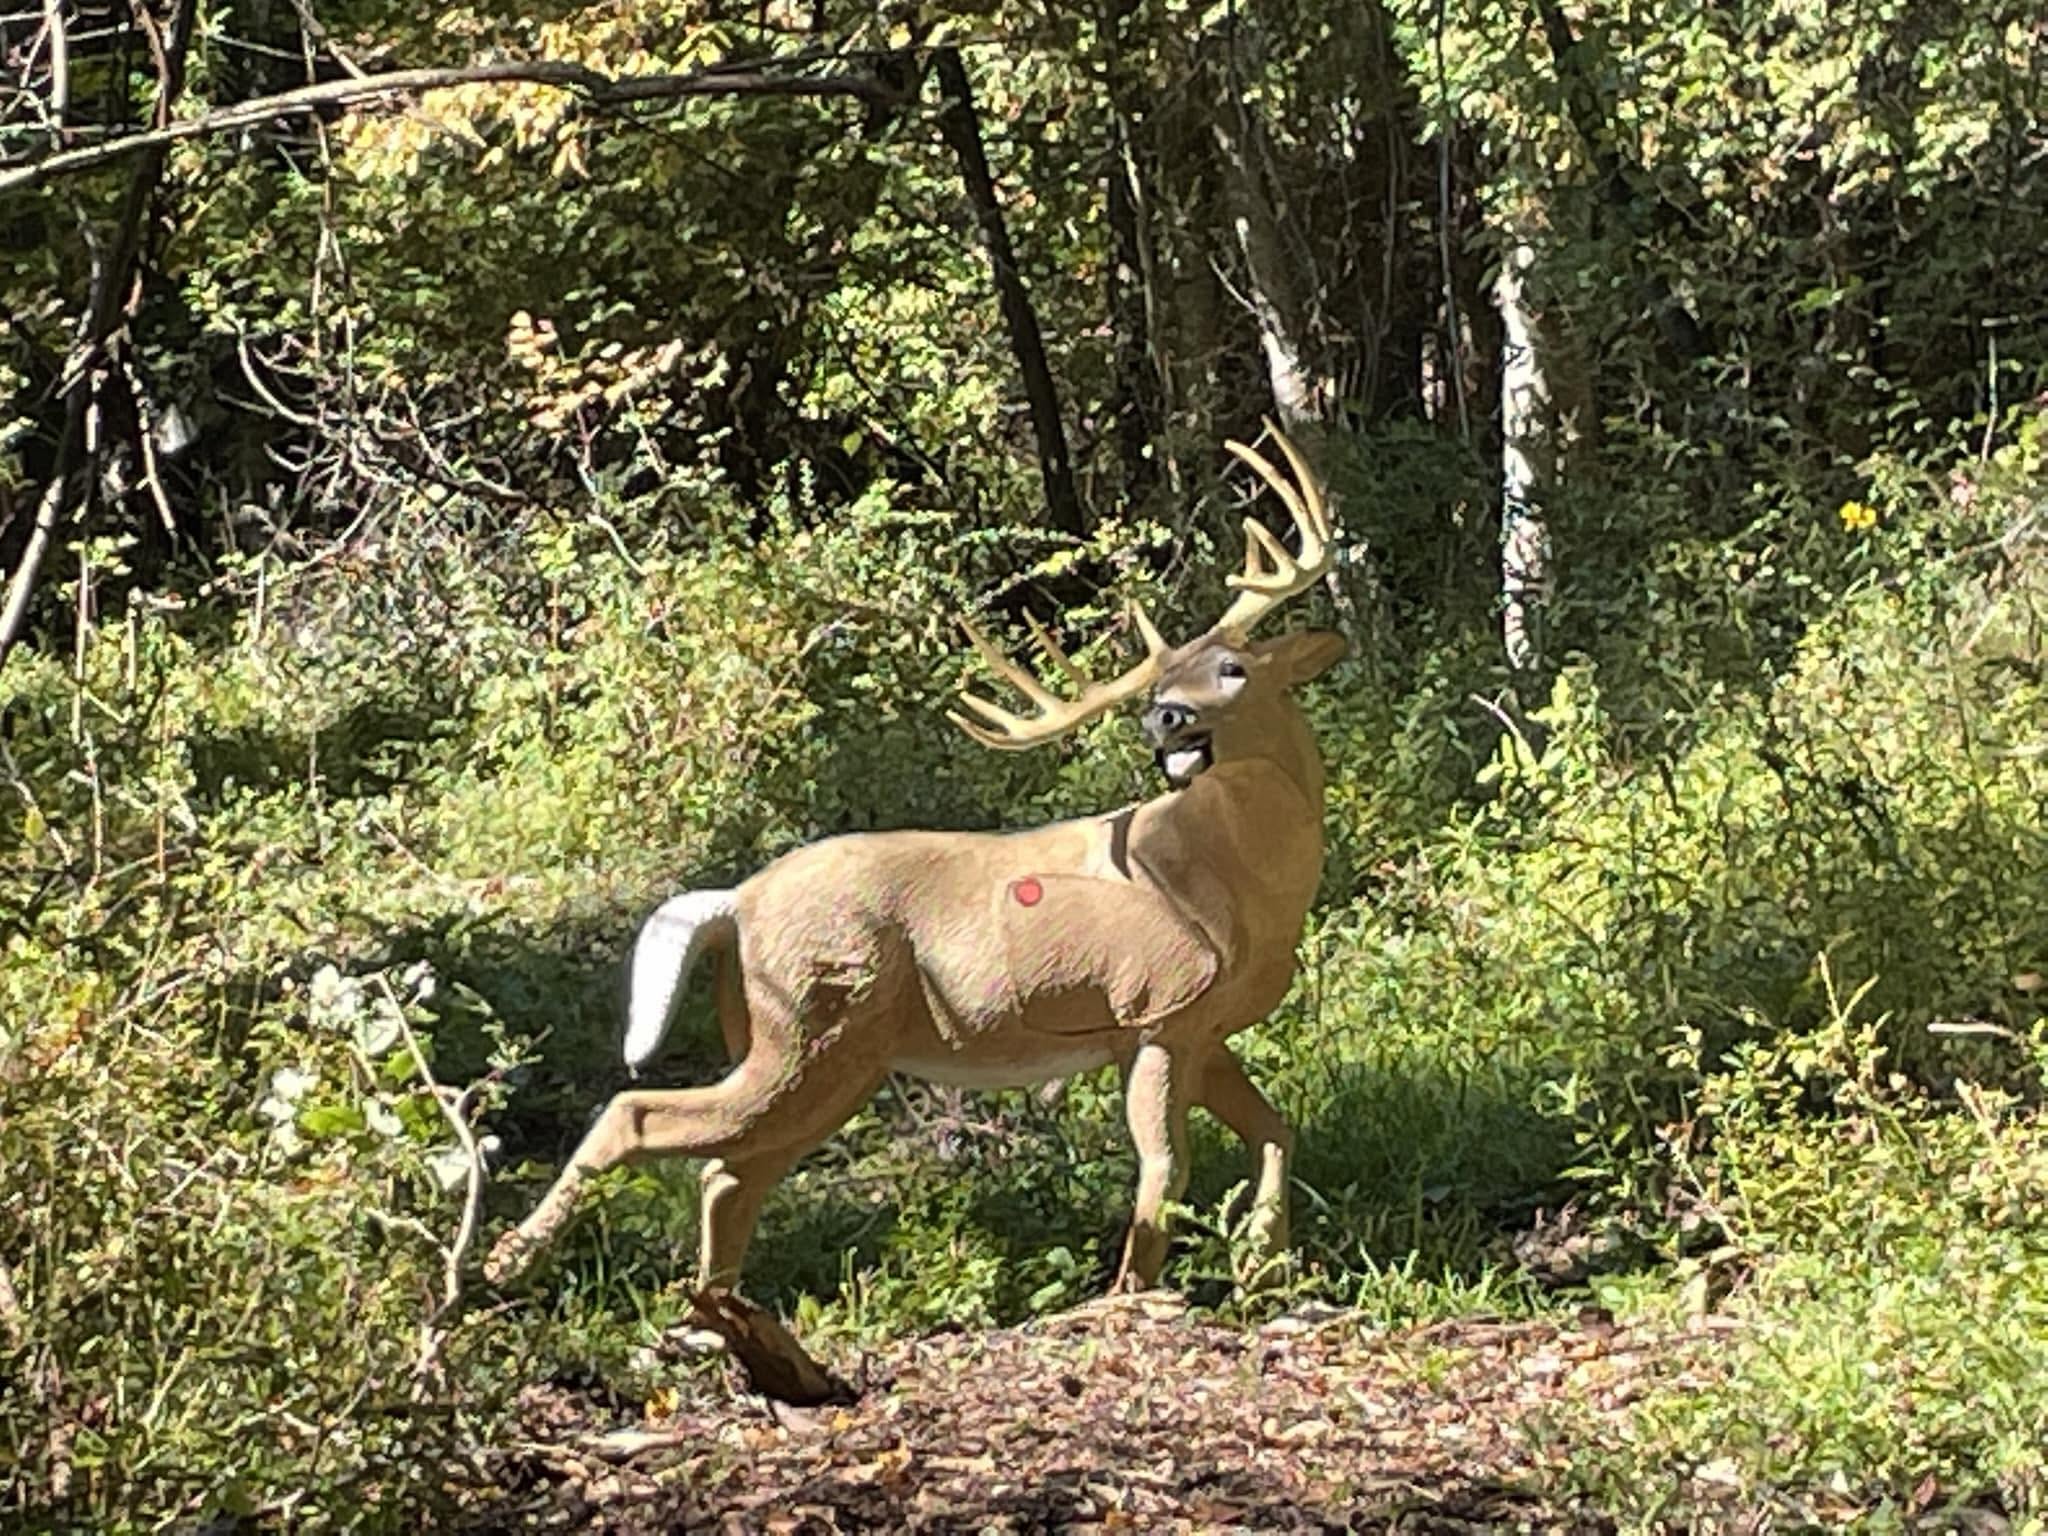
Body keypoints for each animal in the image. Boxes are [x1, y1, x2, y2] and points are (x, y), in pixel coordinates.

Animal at [484, 423, 1344, 1298]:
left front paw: (1266, 1266)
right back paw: (504, 1260)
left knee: (729, 1175)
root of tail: (734, 903)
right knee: (642, 1117)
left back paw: (711, 1308)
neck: (1230, 886)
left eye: (1235, 667)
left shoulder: (1205, 1029)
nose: (1162, 716)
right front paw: (1133, 1292)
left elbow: (1274, 1129)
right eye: (1158, 685)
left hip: (811, 1049)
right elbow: (1164, 1169)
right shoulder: (1156, 1011)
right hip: (810, 1025)